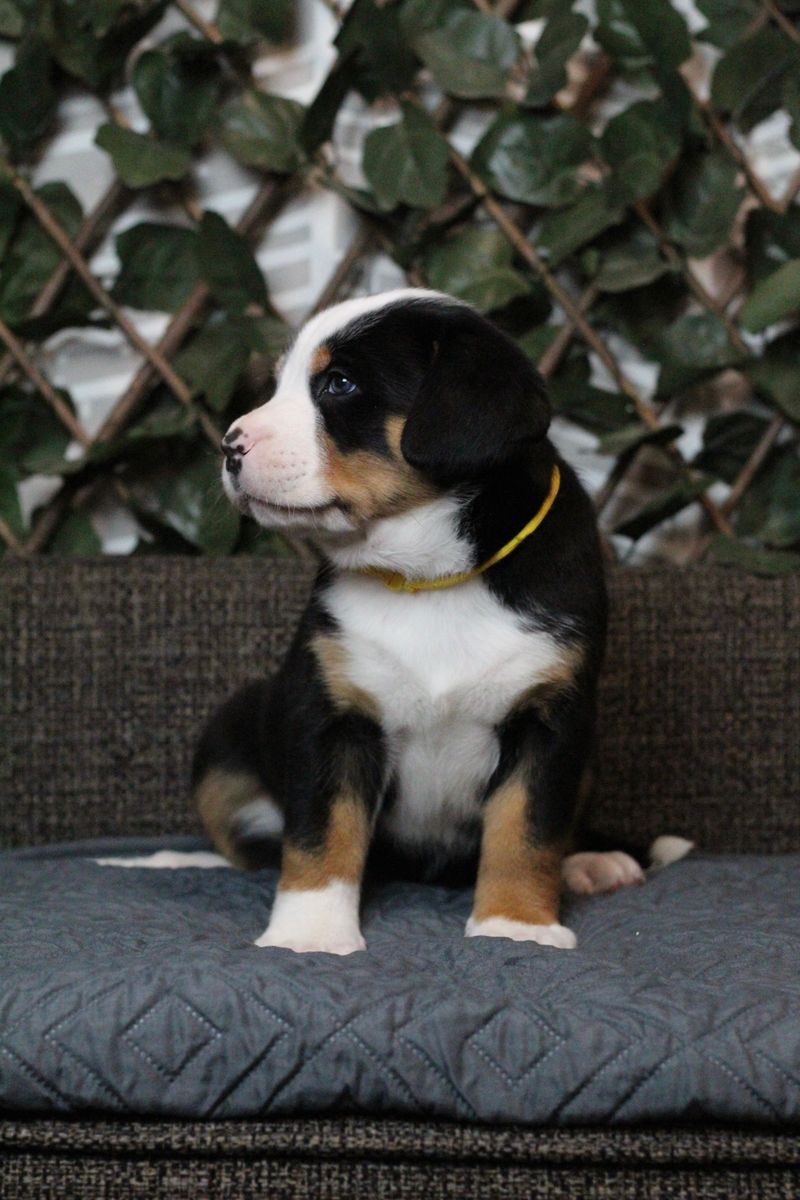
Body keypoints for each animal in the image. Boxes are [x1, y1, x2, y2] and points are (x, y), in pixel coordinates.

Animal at [193, 288, 687, 955]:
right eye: (277, 385)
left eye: (340, 384)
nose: (230, 445)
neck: (430, 577)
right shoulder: (333, 714)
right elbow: (321, 831)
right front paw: (310, 933)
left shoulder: (549, 721)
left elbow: (527, 831)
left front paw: (516, 924)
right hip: (226, 737)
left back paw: (593, 863)